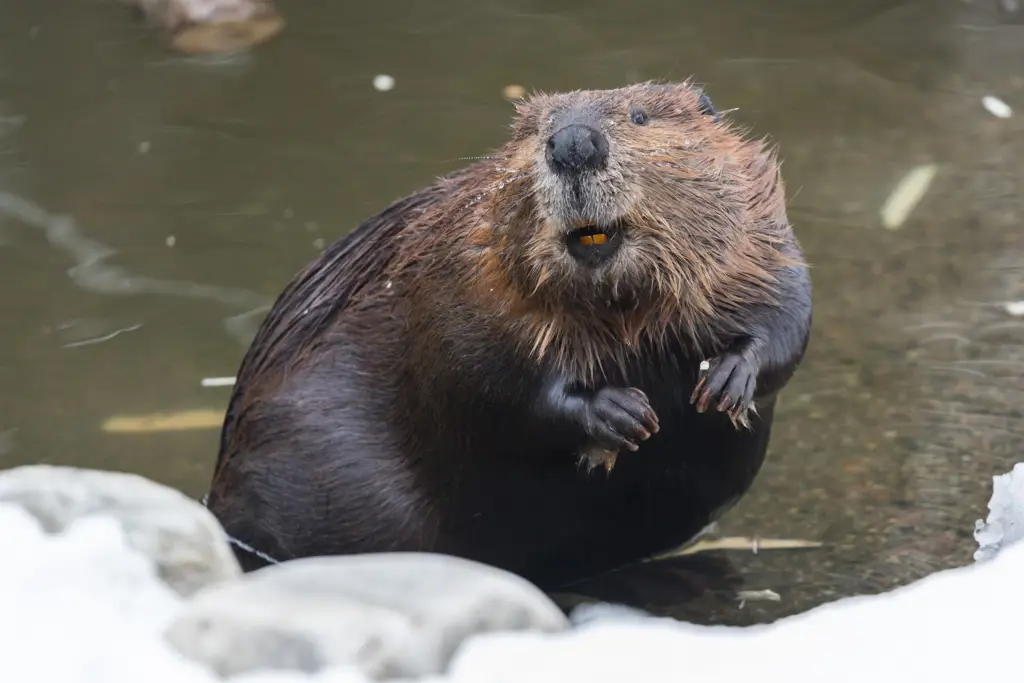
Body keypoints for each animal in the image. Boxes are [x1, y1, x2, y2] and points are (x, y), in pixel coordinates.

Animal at [205, 80, 815, 589]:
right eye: (536, 130)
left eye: (639, 116)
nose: (573, 143)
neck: (622, 309)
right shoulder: (458, 272)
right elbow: (480, 381)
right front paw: (623, 413)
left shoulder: (758, 228)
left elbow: (788, 311)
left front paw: (728, 379)